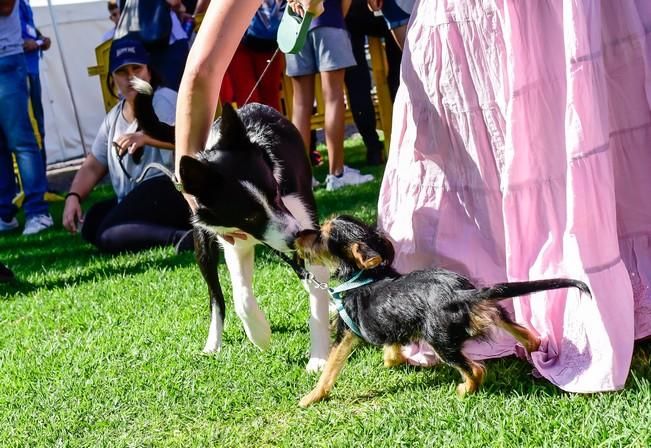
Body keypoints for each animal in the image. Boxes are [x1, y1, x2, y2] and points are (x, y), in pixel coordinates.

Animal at [296, 215, 592, 408]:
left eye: (322, 236)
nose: (297, 235)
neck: (364, 275)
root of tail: (461, 293)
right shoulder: (390, 325)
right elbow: (391, 349)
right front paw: (394, 360)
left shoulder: (345, 334)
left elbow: (330, 368)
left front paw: (311, 397)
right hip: (488, 311)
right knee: (524, 332)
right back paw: (533, 347)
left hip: (440, 341)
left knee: (475, 369)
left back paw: (464, 391)